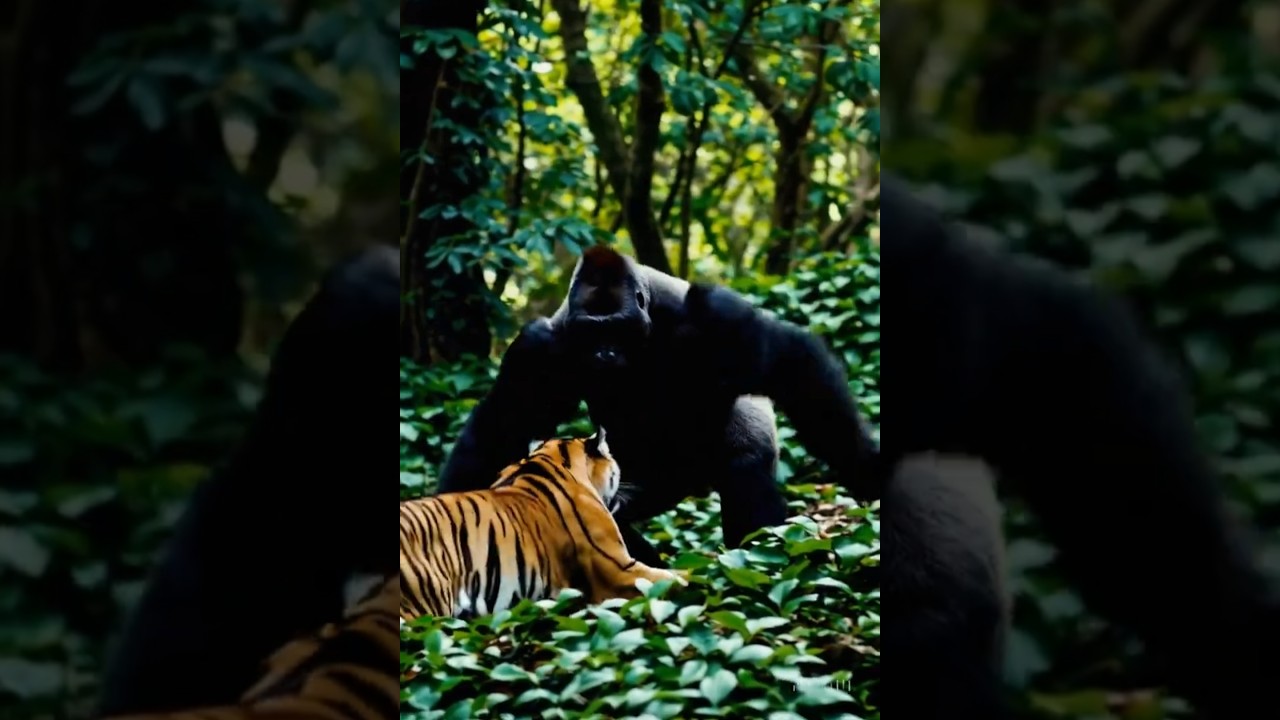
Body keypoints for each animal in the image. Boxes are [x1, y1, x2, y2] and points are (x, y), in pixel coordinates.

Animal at [435, 244, 880, 567]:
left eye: (617, 329)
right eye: (591, 333)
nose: (605, 355)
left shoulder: (715, 311)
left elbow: (793, 364)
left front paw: (868, 472)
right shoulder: (537, 348)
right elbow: (498, 431)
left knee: (745, 464)